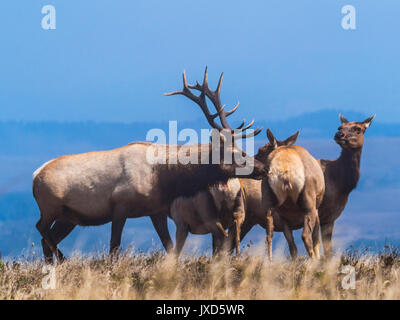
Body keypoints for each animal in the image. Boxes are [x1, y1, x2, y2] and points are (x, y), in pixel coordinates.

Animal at [33, 67, 266, 262]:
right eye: (236, 153)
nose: (263, 168)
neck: (164, 178)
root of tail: (36, 175)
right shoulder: (120, 204)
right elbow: (114, 246)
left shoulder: (157, 210)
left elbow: (169, 246)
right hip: (51, 206)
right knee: (41, 228)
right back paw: (63, 259)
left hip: (69, 217)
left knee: (47, 238)